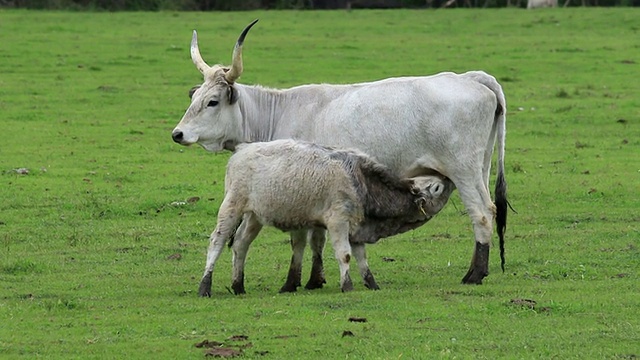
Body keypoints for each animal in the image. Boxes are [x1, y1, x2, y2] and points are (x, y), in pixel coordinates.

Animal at [171, 19, 510, 286]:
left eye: (212, 101)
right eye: (194, 98)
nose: (177, 134)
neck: (277, 113)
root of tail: (469, 77)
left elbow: (306, 237)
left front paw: (304, 280)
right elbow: (318, 237)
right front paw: (315, 278)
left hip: (463, 171)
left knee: (482, 213)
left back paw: (474, 275)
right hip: (480, 168)